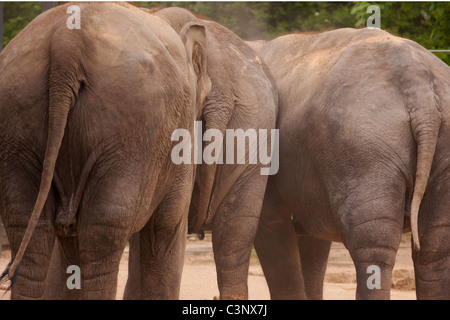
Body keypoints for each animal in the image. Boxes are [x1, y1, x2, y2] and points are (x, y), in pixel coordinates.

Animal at [0, 1, 213, 298]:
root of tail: (66, 44)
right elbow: (166, 224)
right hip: (130, 125)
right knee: (102, 232)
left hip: (16, 117)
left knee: (31, 231)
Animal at [251, 28, 448, 300]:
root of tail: (419, 85)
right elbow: (312, 239)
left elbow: (271, 226)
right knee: (434, 249)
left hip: (363, 150)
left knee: (373, 248)